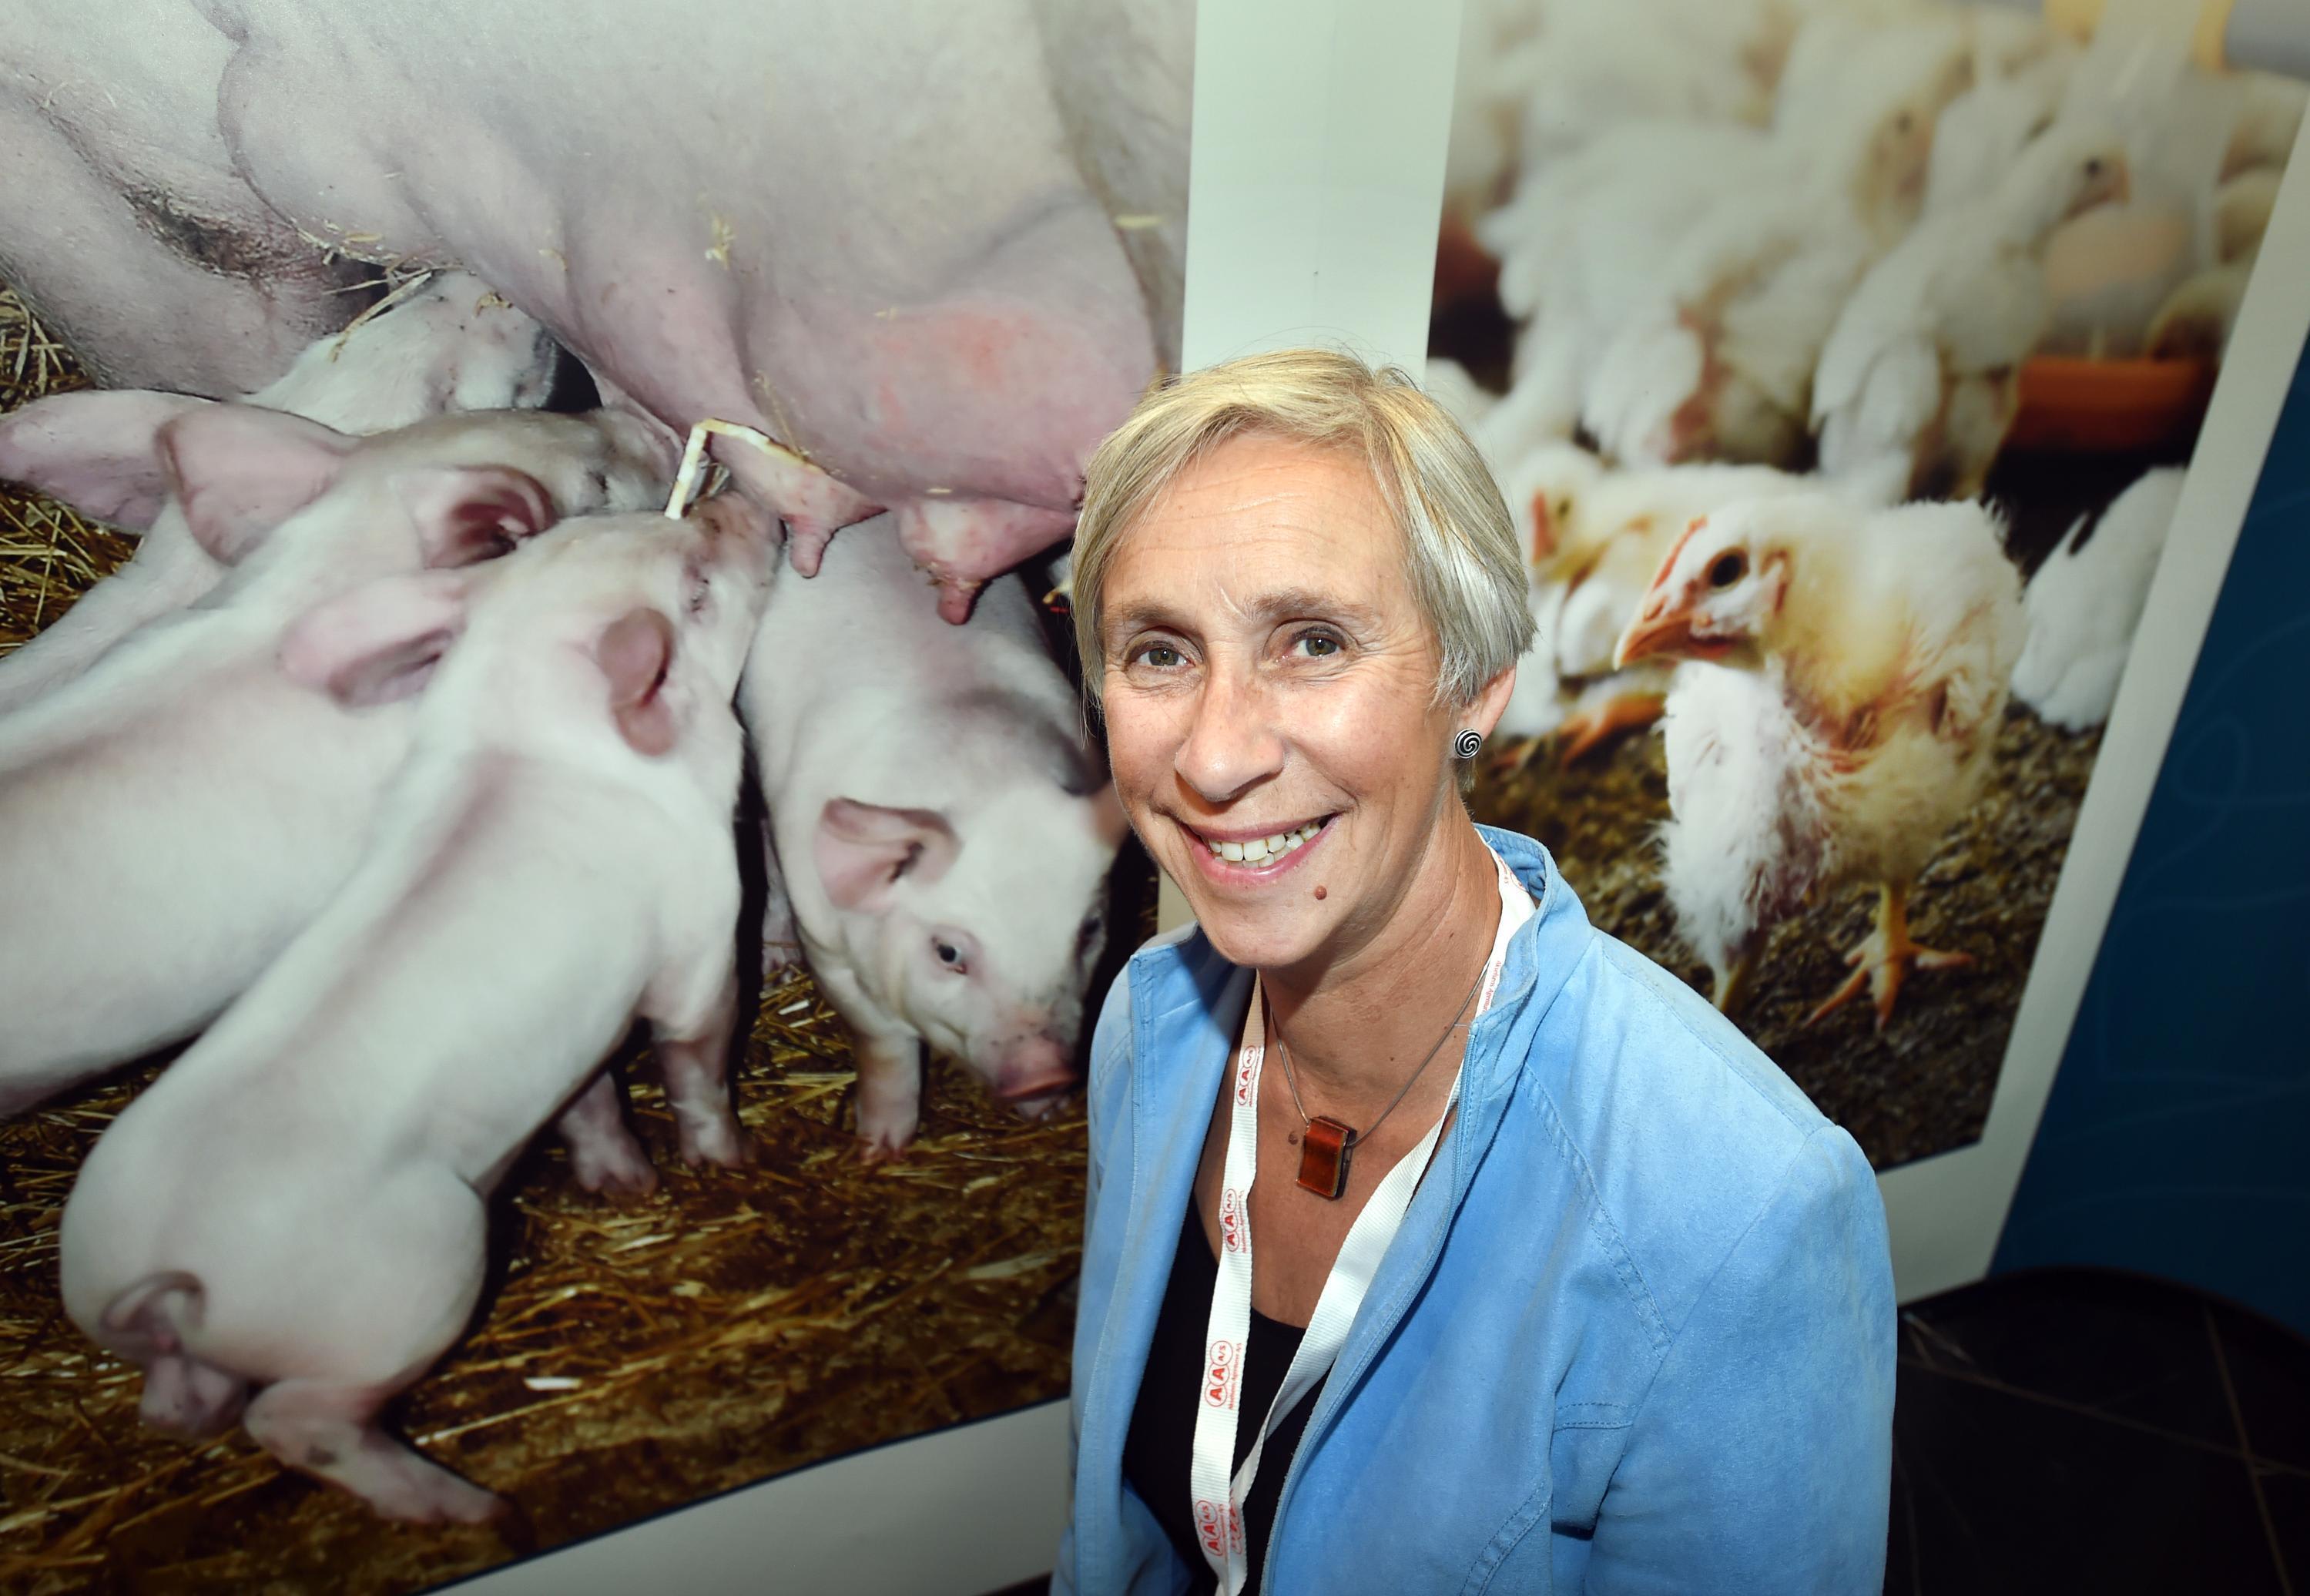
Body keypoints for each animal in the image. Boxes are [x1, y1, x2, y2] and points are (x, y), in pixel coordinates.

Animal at [58, 496, 776, 1523]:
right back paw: (477, 1510)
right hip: (422, 1275)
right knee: (296, 1421)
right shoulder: (701, 934)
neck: (525, 736)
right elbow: (696, 1058)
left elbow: (589, 1097)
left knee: (179, 1406)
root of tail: (165, 1269)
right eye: (698, 591)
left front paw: (628, 1185)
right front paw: (731, 1163)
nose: (736, 503)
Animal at [739, 517, 1126, 1156]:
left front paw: (1046, 1113)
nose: (1044, 1072)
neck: (984, 775)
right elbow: (882, 1042)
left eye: (1088, 932)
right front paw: (877, 1150)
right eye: (948, 953)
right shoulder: (827, 943)